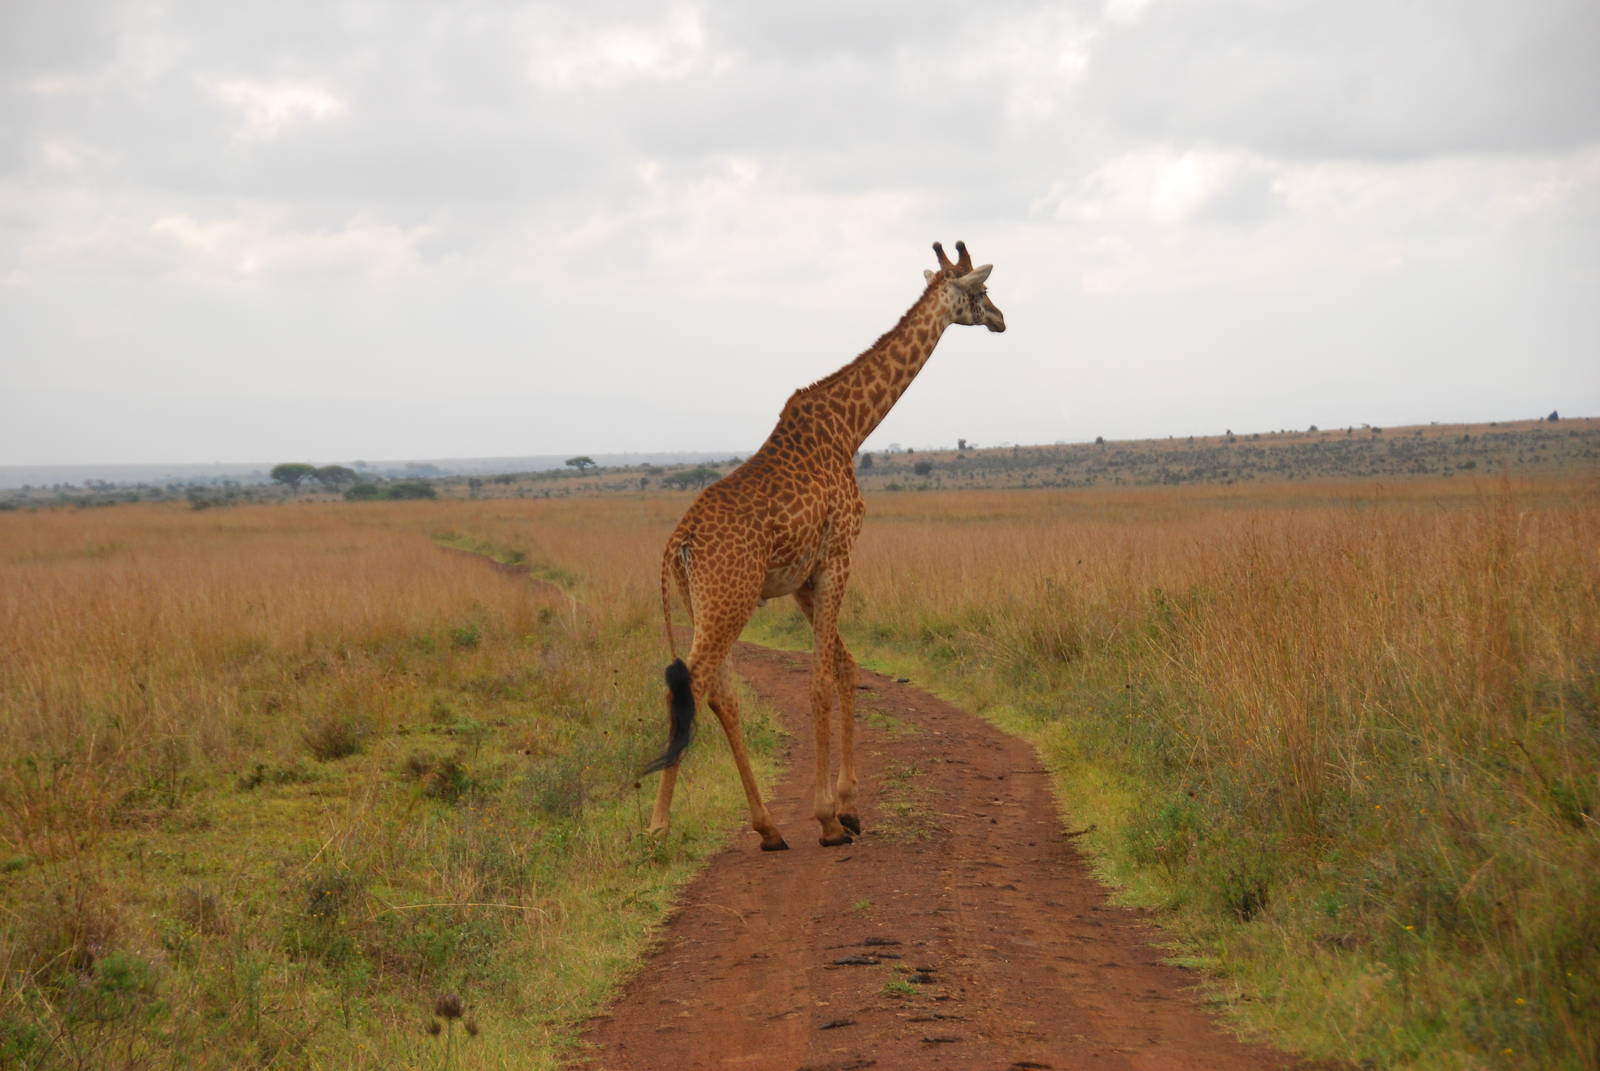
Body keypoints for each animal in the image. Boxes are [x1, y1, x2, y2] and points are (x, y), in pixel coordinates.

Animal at [643, 241, 1006, 850]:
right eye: (979, 290)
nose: (1002, 319)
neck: (851, 426)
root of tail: (679, 544)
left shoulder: (801, 579)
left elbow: (845, 666)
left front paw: (849, 806)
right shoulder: (839, 555)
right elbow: (818, 682)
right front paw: (827, 818)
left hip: (703, 602)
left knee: (719, 692)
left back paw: (768, 827)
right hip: (729, 599)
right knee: (689, 685)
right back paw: (659, 824)